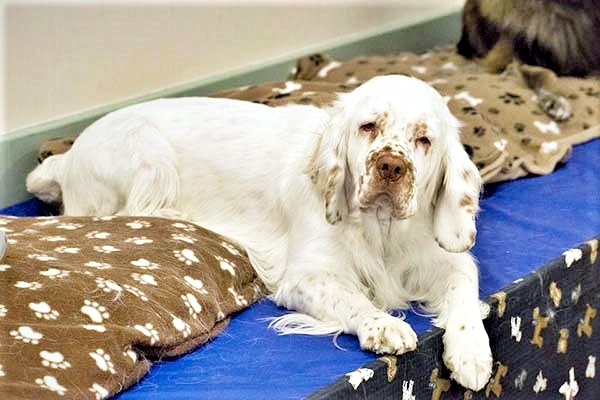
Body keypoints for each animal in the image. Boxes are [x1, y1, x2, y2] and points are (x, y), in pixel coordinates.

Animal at [27, 76, 492, 390]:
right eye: (368, 127)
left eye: (424, 139)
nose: (391, 167)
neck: (382, 230)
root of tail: (67, 157)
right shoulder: (305, 277)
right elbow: (355, 300)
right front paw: (384, 325)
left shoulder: (446, 261)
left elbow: (465, 296)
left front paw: (472, 353)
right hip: (146, 153)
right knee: (132, 213)